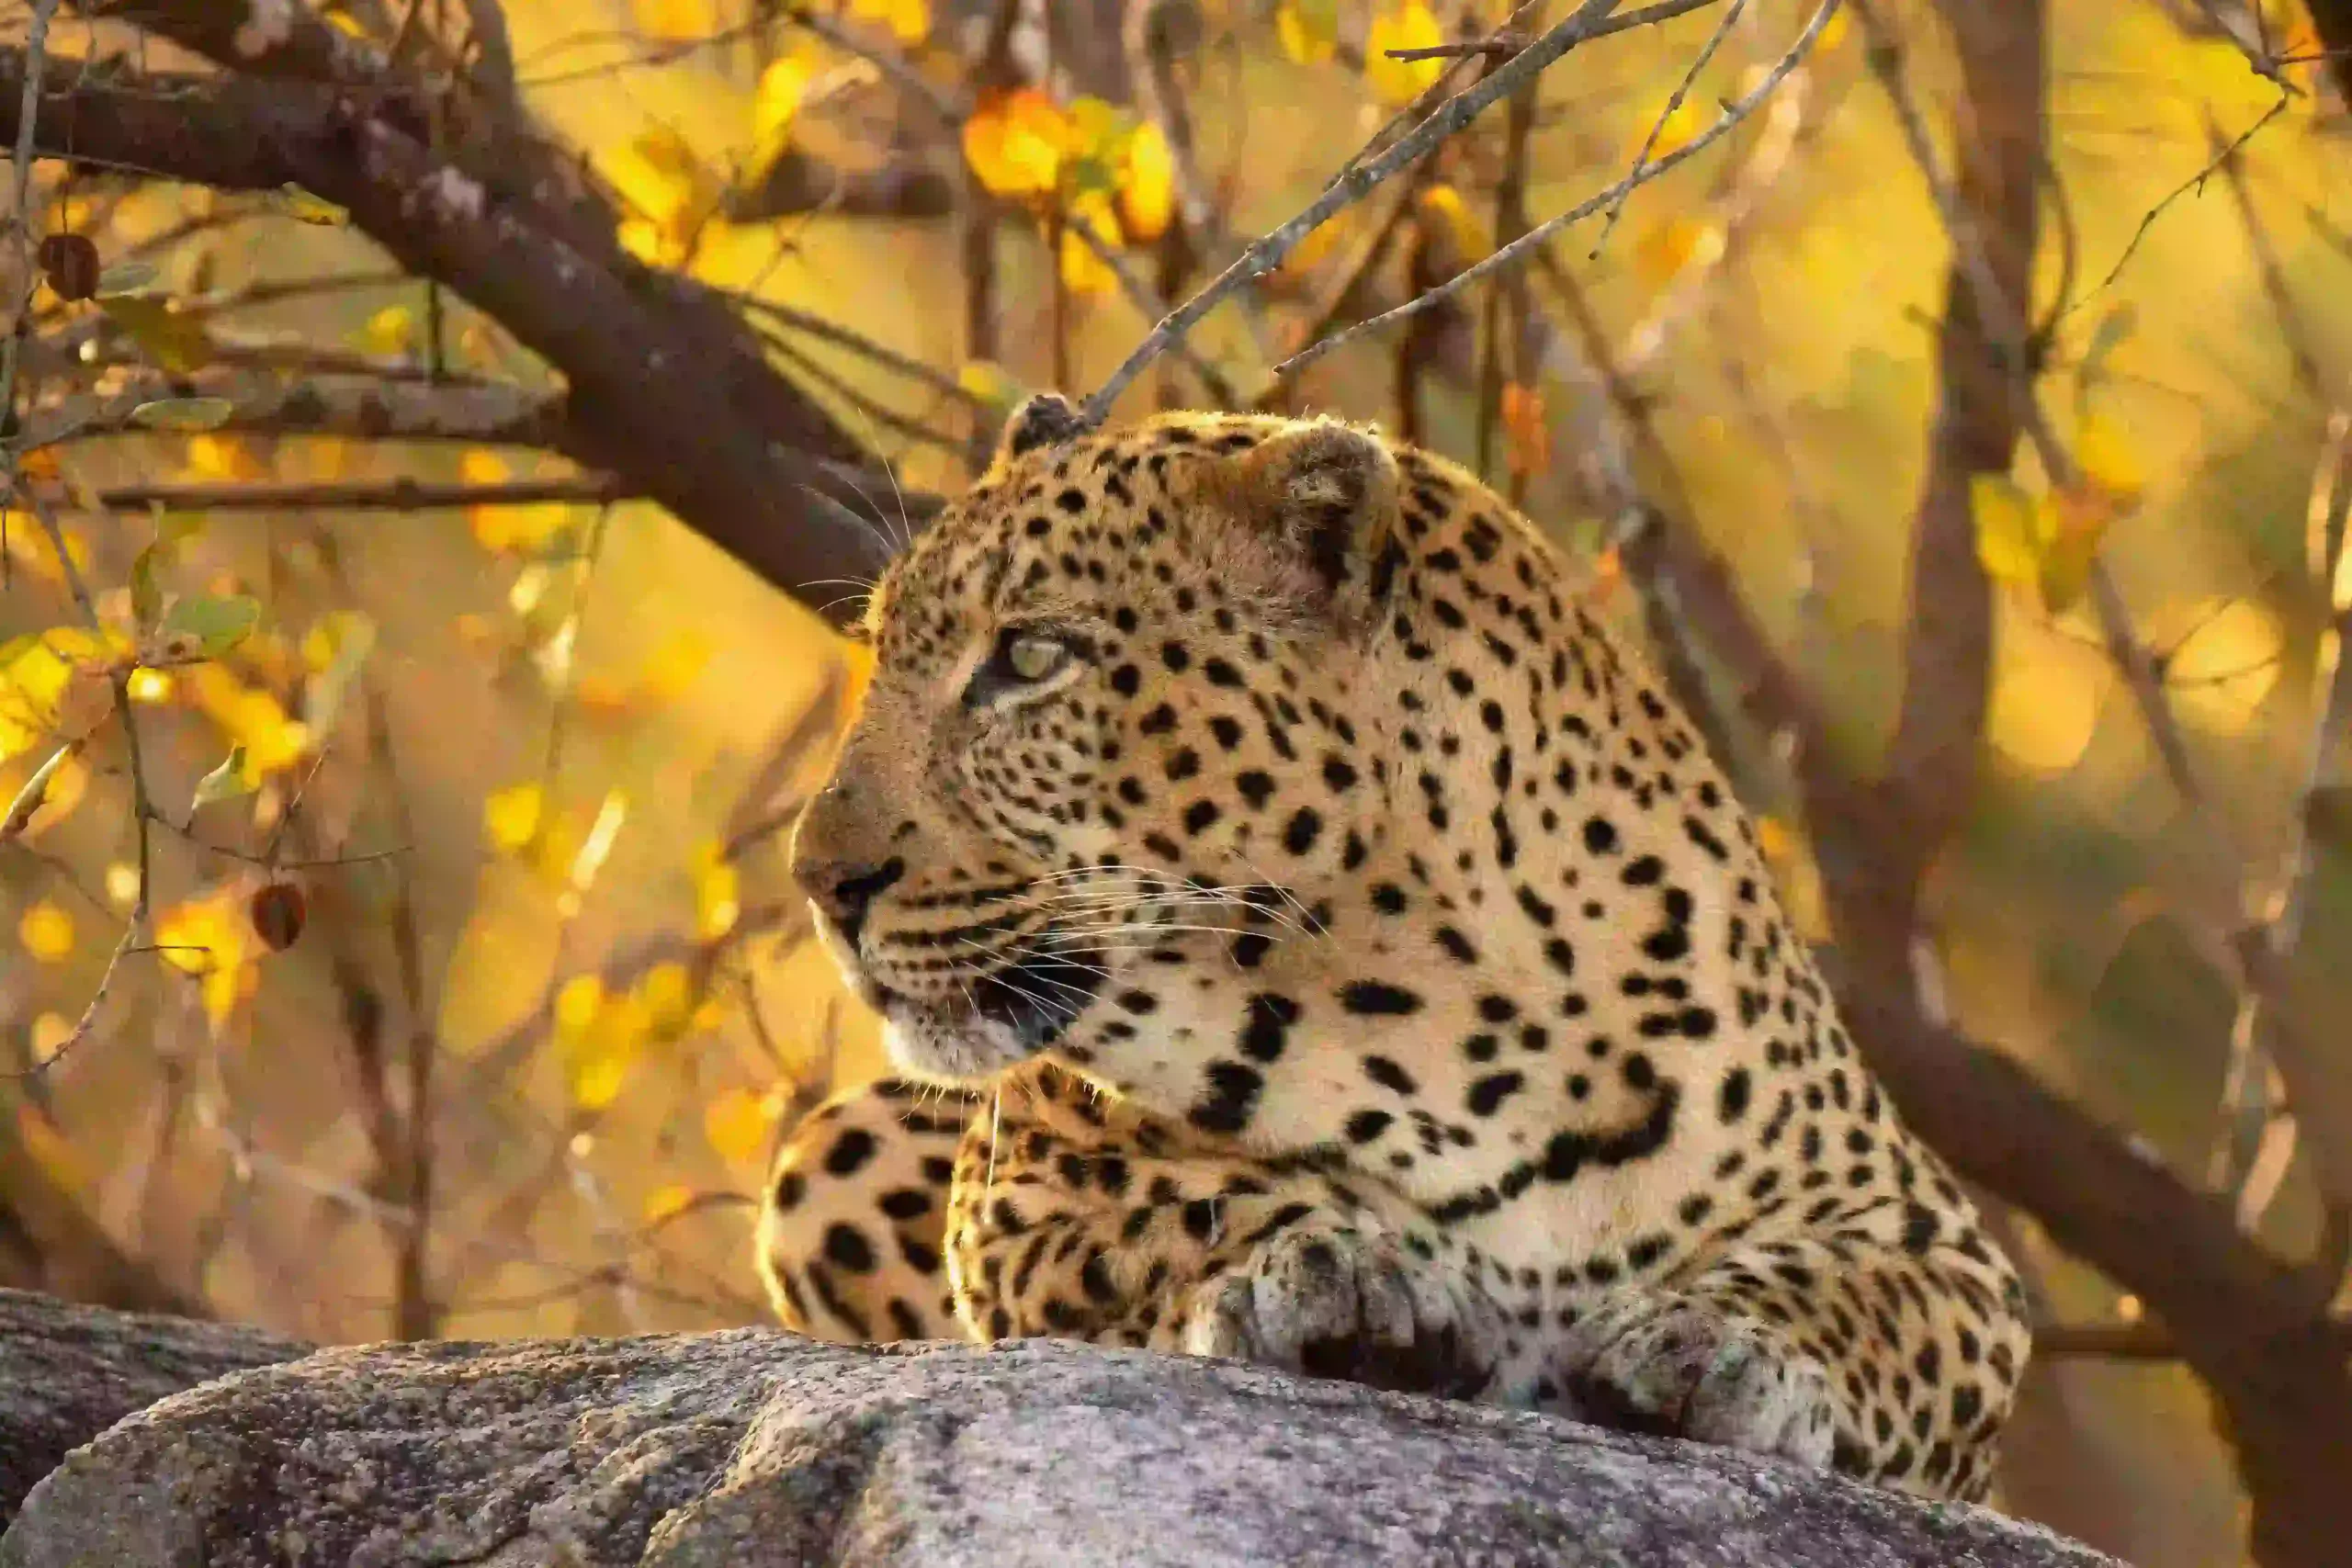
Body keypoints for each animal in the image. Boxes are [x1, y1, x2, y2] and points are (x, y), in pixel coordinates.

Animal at [755, 393, 2031, 1502]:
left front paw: (1719, 1342)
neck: (1438, 1011)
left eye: (1029, 659)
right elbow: (1176, 1202)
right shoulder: (1024, 1180)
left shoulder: (1935, 1238)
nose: (819, 879)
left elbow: (1865, 1296)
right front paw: (1333, 1269)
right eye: (882, 649)